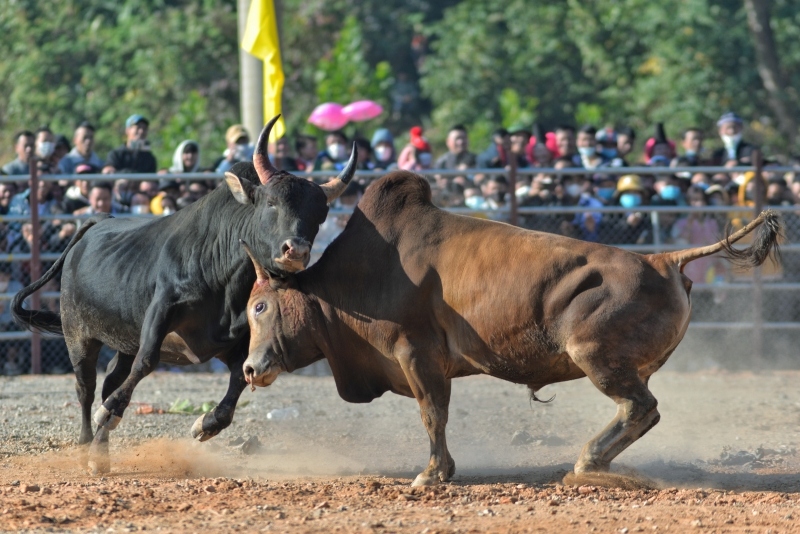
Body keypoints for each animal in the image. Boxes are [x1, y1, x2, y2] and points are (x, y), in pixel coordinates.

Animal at [10, 116, 356, 474]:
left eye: (320, 216)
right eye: (271, 203)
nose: (296, 250)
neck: (225, 276)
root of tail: (97, 222)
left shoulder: (234, 340)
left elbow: (239, 377)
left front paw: (207, 423)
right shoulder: (161, 312)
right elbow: (146, 362)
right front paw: (111, 412)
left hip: (121, 341)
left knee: (110, 379)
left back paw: (100, 450)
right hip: (78, 334)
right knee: (86, 388)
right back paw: (86, 446)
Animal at [242, 173, 780, 490]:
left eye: (260, 306)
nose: (249, 368)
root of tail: (663, 260)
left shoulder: (418, 356)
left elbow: (432, 415)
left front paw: (431, 474)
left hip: (596, 357)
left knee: (639, 408)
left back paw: (587, 465)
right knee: (642, 411)